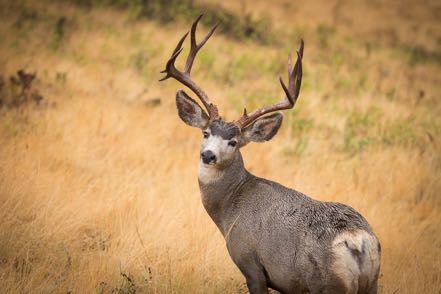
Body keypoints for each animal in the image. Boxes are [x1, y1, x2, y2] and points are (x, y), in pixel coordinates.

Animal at [160, 16, 380, 294]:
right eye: (206, 133)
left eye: (233, 142)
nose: (208, 155)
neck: (230, 206)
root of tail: (357, 241)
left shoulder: (251, 263)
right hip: (372, 281)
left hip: (329, 284)